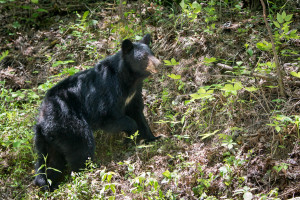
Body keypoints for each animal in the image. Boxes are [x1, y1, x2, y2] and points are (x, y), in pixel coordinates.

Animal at [33, 34, 161, 191]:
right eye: (143, 57)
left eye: (152, 53)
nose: (159, 64)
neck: (129, 79)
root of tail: (41, 122)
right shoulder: (108, 92)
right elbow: (109, 118)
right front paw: (131, 137)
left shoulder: (133, 95)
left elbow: (138, 114)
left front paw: (153, 138)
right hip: (67, 123)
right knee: (81, 145)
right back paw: (89, 171)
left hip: (51, 138)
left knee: (51, 161)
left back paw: (48, 184)